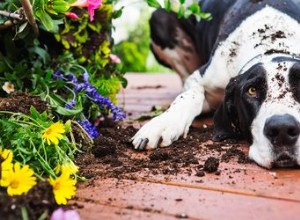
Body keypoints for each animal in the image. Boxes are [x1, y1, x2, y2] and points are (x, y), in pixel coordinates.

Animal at [131, 0, 300, 168]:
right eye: (252, 90)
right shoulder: (200, 77)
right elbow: (190, 96)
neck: (272, 44)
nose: (283, 129)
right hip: (160, 18)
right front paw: (162, 124)